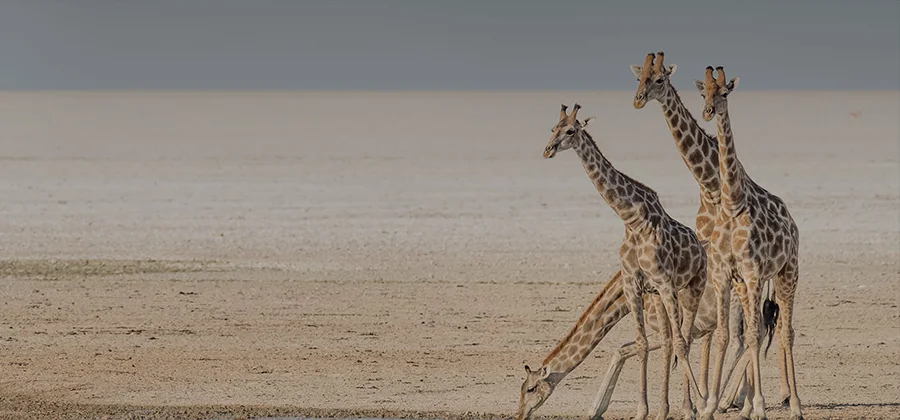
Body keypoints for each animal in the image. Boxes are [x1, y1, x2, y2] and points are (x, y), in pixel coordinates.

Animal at [517, 103, 707, 420]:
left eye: (571, 130)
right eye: (553, 128)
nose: (548, 150)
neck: (633, 221)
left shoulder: (664, 283)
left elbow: (679, 343)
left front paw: (697, 406)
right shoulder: (635, 285)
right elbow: (642, 345)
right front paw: (643, 411)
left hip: (693, 287)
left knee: (687, 339)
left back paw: (696, 405)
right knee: (674, 340)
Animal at [630, 51, 750, 412]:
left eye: (659, 79)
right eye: (639, 77)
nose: (638, 100)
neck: (710, 186)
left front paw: (697, 401)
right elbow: (693, 330)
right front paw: (691, 402)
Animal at [693, 66, 803, 420]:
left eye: (724, 92)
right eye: (704, 93)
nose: (708, 111)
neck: (731, 204)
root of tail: (792, 222)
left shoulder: (754, 273)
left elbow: (754, 334)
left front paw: (760, 406)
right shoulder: (725, 274)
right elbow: (725, 334)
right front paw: (711, 405)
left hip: (787, 272)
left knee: (784, 332)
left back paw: (795, 405)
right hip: (748, 283)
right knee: (759, 330)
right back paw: (747, 406)